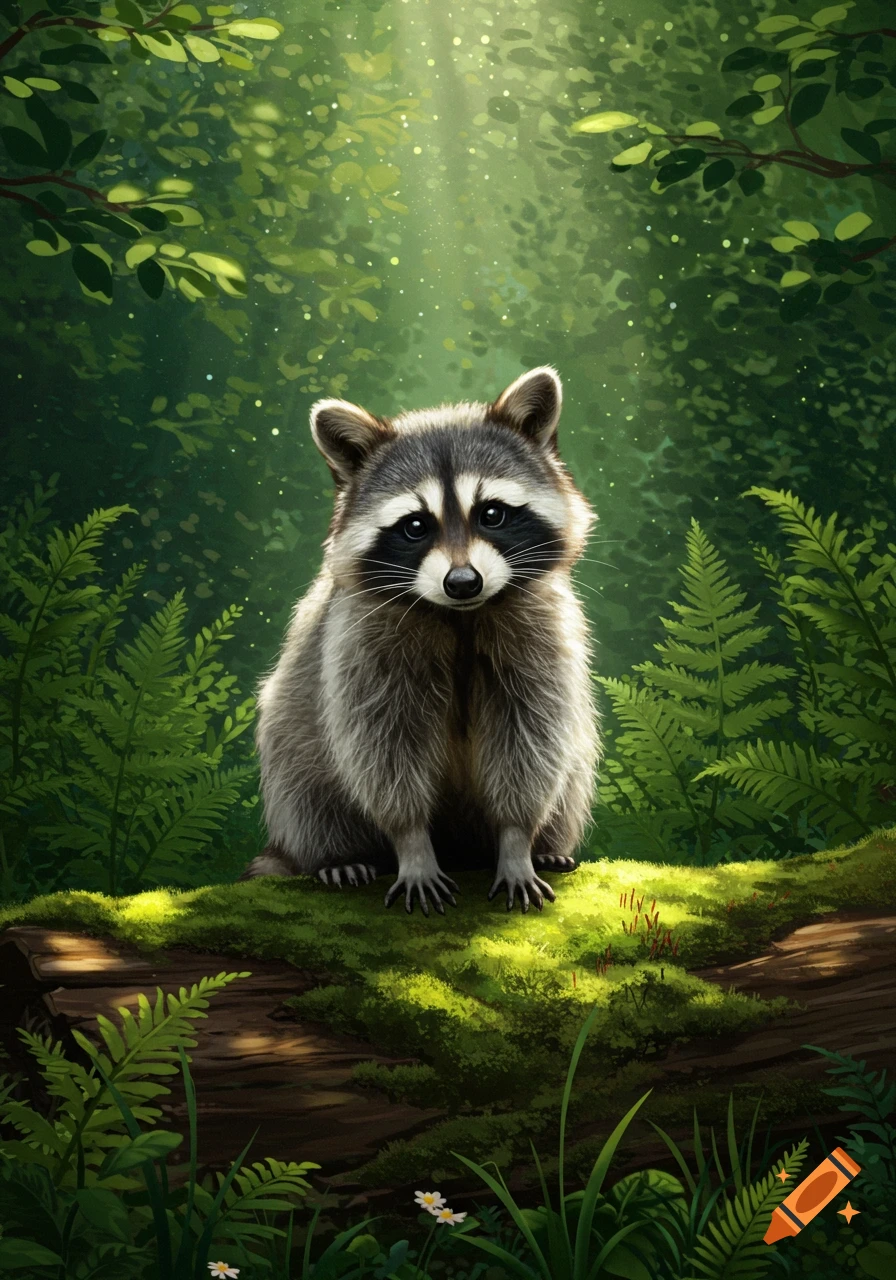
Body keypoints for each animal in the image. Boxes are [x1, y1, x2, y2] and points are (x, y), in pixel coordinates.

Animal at [240, 366, 600, 915]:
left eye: (491, 514)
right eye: (415, 526)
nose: (463, 582)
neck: (459, 616)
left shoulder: (541, 632)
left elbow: (530, 740)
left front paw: (517, 842)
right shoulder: (362, 643)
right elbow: (384, 750)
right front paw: (411, 846)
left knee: (570, 763)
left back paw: (546, 846)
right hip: (294, 757)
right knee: (305, 781)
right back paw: (338, 855)